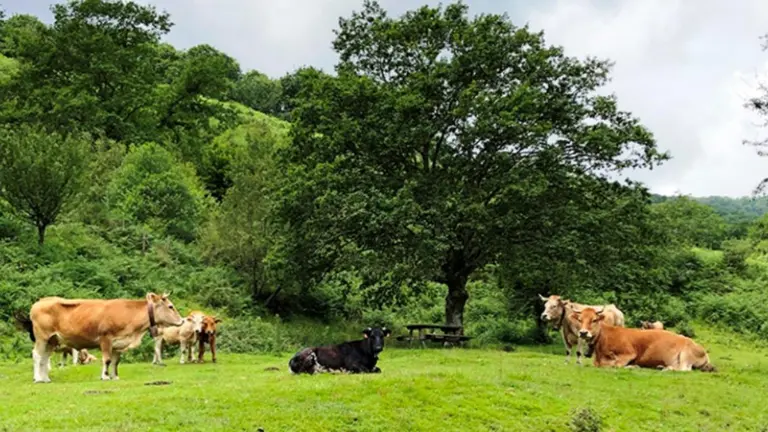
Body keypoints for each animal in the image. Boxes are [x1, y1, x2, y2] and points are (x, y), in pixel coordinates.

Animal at [16, 292, 183, 383]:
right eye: (170, 306)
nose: (182, 321)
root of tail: (40, 302)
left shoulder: (118, 343)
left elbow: (116, 361)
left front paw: (115, 376)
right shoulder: (105, 338)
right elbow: (107, 360)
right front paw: (105, 376)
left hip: (51, 340)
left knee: (45, 358)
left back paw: (45, 378)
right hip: (42, 337)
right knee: (37, 355)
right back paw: (38, 379)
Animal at [573, 307, 715, 372]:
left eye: (594, 320)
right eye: (580, 319)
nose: (583, 332)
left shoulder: (629, 353)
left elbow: (617, 364)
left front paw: (632, 366)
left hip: (686, 354)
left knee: (684, 369)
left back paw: (666, 369)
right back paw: (661, 366)